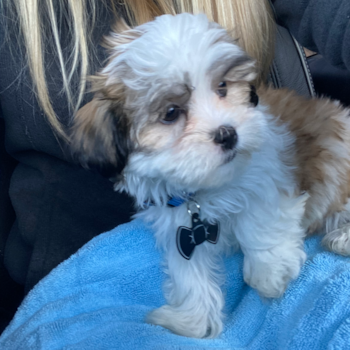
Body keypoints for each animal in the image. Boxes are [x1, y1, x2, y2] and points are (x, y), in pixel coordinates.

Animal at [71, 13, 350, 340]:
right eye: (171, 112)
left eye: (223, 87)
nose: (227, 133)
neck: (204, 190)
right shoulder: (178, 224)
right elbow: (189, 271)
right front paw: (192, 320)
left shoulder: (266, 173)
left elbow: (260, 219)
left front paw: (269, 271)